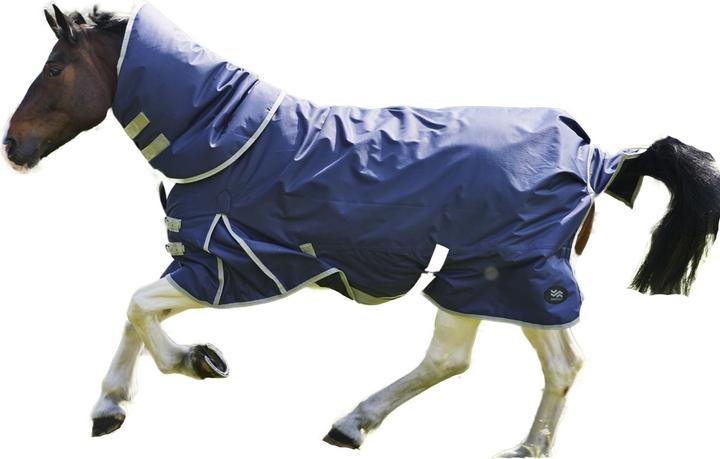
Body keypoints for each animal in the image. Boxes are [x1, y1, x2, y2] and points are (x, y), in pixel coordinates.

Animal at [4, 4, 719, 457]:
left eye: (55, 70)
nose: (14, 146)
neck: (228, 137)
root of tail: (595, 156)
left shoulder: (233, 264)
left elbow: (136, 304)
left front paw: (194, 362)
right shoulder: (208, 259)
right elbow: (135, 310)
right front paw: (112, 408)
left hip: (492, 273)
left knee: (461, 359)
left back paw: (354, 423)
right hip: (509, 279)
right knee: (552, 364)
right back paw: (516, 447)